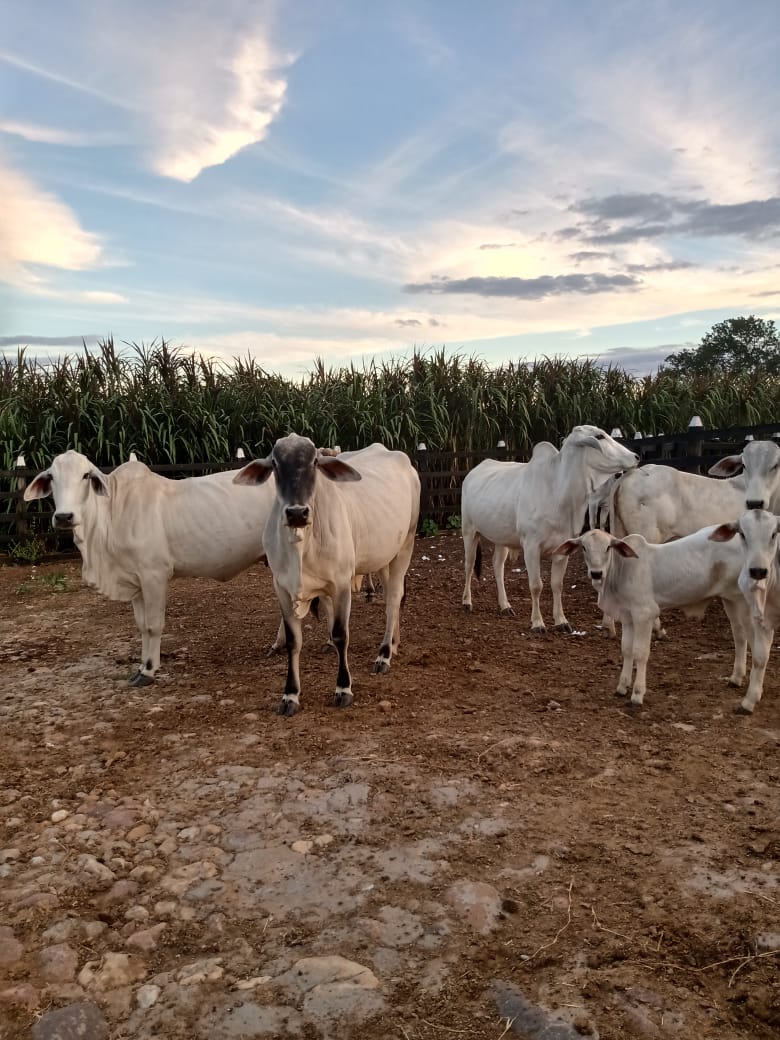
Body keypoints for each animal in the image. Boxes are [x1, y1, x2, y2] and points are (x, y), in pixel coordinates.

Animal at [25, 451, 274, 686]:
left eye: (86, 475)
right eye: (51, 477)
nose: (64, 516)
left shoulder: (154, 576)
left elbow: (154, 625)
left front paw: (149, 671)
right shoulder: (136, 582)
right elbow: (142, 626)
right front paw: (140, 666)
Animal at [233, 432, 422, 715]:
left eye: (314, 461)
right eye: (275, 463)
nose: (297, 513)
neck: (301, 547)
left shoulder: (342, 583)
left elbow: (341, 634)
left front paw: (343, 688)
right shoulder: (282, 588)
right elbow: (293, 640)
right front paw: (290, 695)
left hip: (406, 545)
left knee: (393, 599)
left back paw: (384, 654)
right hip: (383, 556)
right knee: (392, 594)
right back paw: (395, 643)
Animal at [461, 424, 636, 632]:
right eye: (600, 436)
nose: (636, 456)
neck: (557, 491)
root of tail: (474, 470)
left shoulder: (563, 548)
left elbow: (556, 584)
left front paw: (561, 621)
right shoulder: (531, 546)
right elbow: (536, 585)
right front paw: (537, 623)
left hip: (501, 538)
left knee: (498, 566)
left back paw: (505, 605)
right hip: (469, 531)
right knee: (469, 565)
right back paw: (467, 602)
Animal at [557, 528, 752, 707]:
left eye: (608, 547)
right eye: (584, 547)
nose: (596, 573)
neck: (621, 570)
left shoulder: (644, 614)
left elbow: (641, 653)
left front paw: (637, 694)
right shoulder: (628, 617)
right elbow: (627, 650)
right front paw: (622, 687)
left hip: (742, 600)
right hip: (729, 600)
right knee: (740, 636)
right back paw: (736, 678)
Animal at [711, 509, 780, 715]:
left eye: (773, 534)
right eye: (742, 534)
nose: (758, 571)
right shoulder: (762, 620)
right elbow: (760, 657)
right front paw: (749, 701)